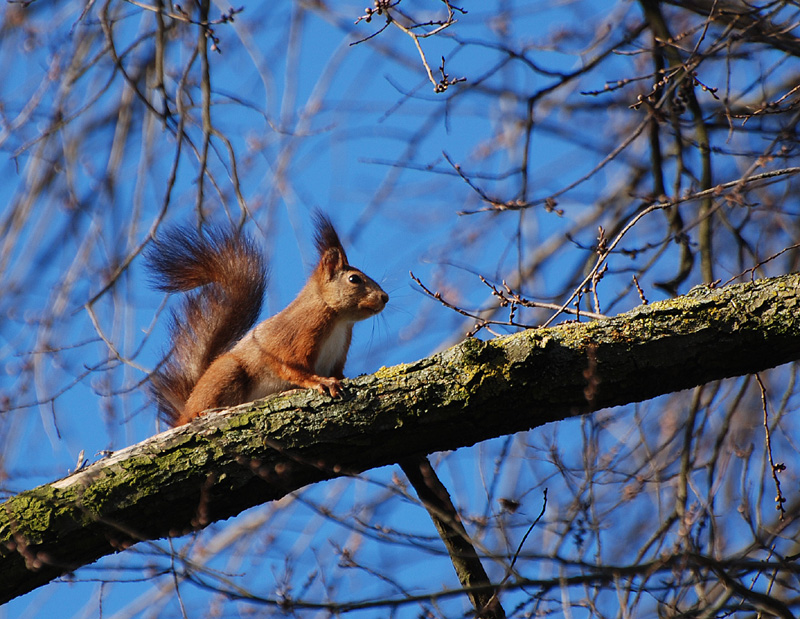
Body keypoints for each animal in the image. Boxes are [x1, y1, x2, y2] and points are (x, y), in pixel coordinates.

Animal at [149, 213, 390, 426]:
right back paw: (199, 414)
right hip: (227, 372)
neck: (339, 321)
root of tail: (185, 408)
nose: (385, 297)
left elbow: (337, 373)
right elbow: (294, 369)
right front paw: (320, 381)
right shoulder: (295, 338)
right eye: (354, 279)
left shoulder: (339, 354)